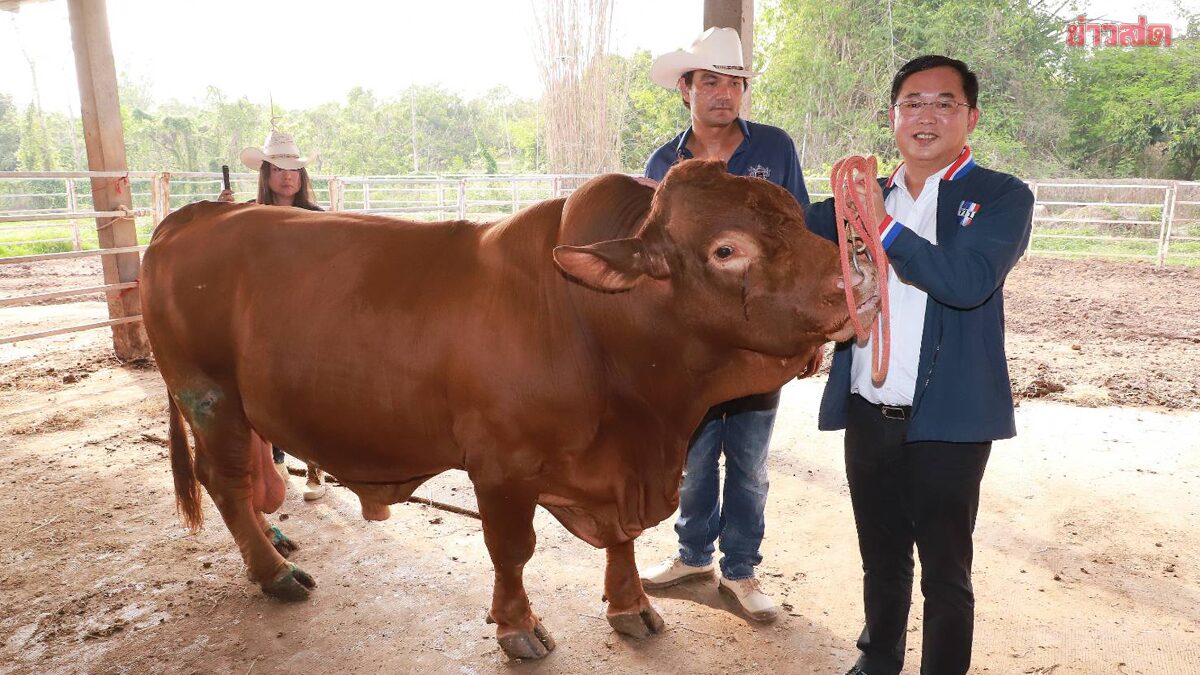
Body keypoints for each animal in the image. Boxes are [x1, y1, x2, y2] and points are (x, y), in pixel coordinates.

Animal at [140, 158, 878, 658]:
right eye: (727, 249)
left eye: (794, 213)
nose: (862, 279)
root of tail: (197, 213)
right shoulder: (501, 464)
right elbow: (512, 548)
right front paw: (519, 625)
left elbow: (624, 539)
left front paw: (631, 605)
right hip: (210, 397)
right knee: (227, 482)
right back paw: (275, 571)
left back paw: (277, 542)